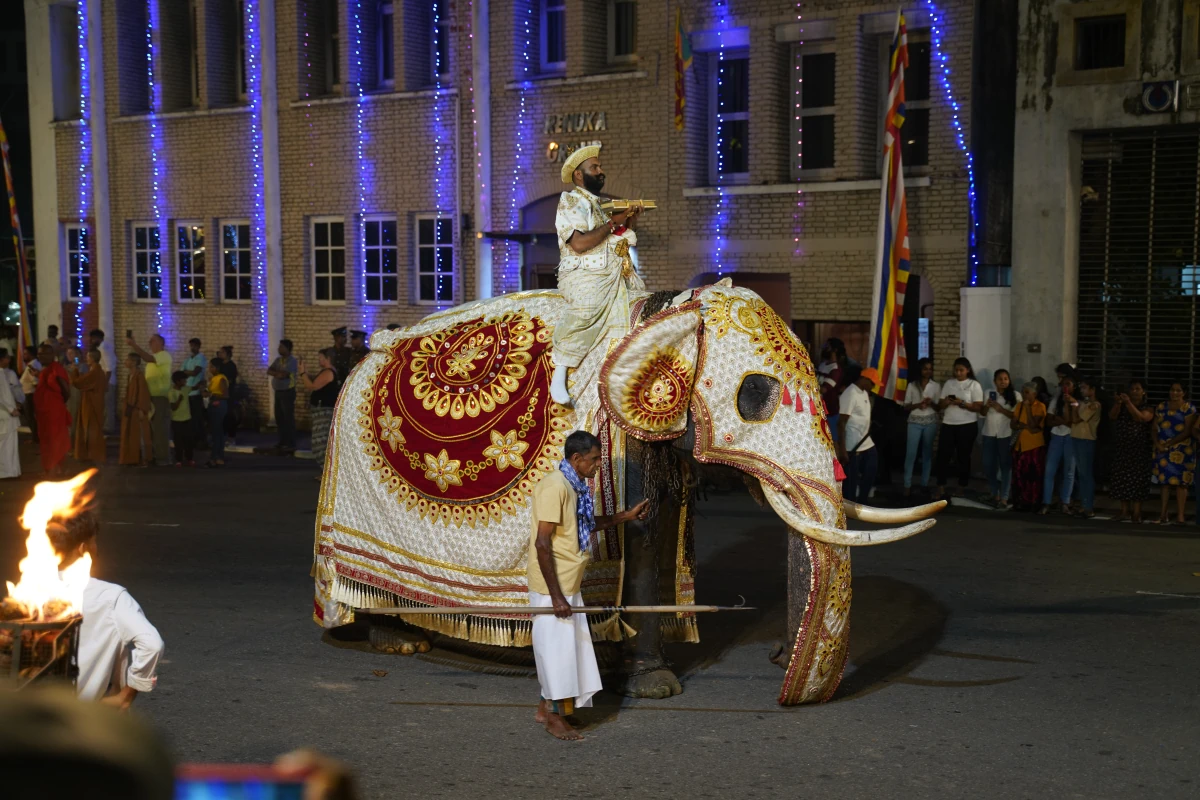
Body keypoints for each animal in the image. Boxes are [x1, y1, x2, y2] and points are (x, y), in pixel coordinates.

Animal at [312, 283, 945, 705]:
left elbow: (658, 532)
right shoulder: (623, 440)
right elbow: (640, 535)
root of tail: (367, 353)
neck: (664, 313)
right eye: (757, 395)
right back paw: (397, 641)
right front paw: (655, 684)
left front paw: (623, 662)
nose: (780, 669)